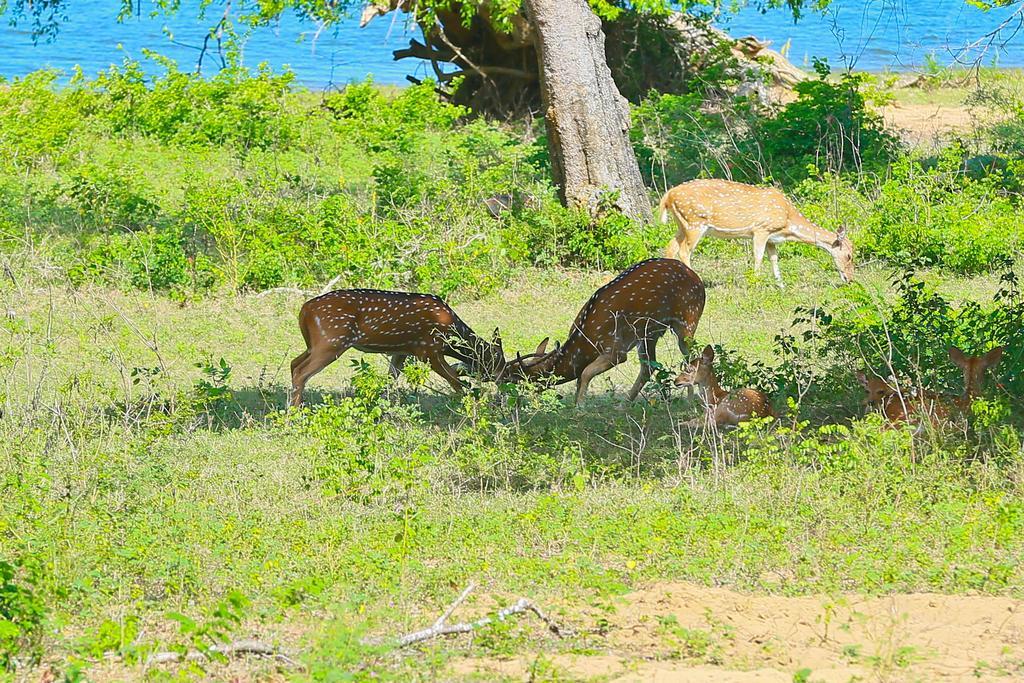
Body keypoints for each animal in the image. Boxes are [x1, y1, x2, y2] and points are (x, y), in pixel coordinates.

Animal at [290, 288, 505, 405]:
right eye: (497, 361)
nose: (503, 382)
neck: (450, 330)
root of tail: (305, 309)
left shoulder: (402, 351)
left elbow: (390, 379)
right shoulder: (428, 349)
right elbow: (455, 380)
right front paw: (469, 403)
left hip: (314, 344)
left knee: (293, 363)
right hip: (332, 341)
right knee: (301, 371)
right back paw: (295, 413)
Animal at [499, 258, 708, 405]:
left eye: (519, 380)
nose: (501, 400)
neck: (586, 340)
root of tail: (697, 279)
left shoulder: (616, 349)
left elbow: (584, 373)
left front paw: (580, 407)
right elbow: (580, 377)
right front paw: (576, 404)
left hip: (687, 321)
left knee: (691, 357)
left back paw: (691, 401)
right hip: (648, 333)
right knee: (648, 367)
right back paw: (624, 404)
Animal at [655, 179, 856, 286]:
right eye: (848, 255)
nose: (850, 279)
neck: (788, 222)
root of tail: (668, 195)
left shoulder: (772, 238)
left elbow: (774, 258)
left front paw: (781, 285)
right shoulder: (761, 229)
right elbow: (758, 256)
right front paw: (755, 283)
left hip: (682, 224)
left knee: (670, 247)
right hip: (694, 222)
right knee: (684, 251)